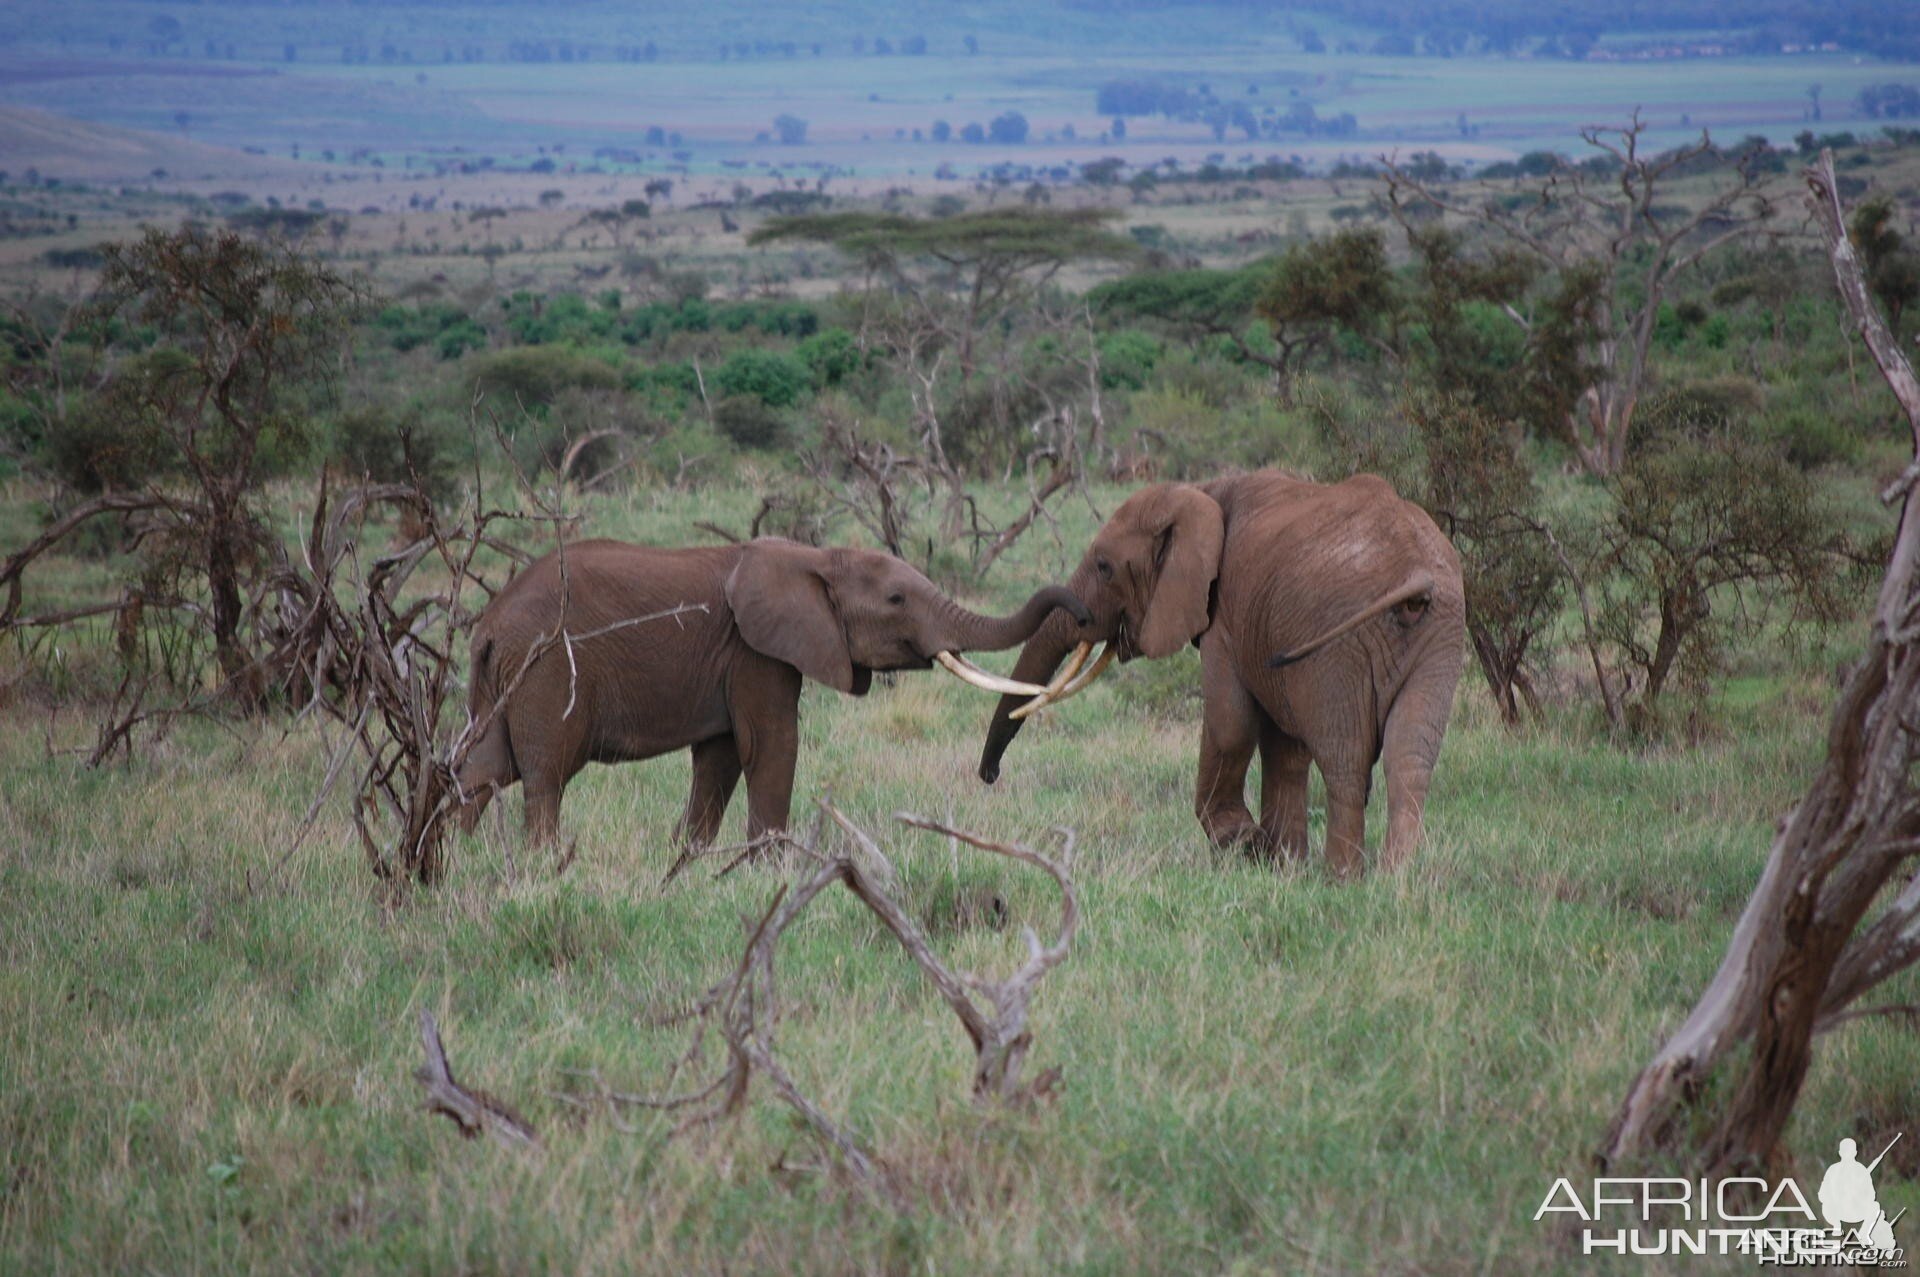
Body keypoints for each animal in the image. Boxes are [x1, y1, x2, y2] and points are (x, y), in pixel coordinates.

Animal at [453, 533, 1098, 852]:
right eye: (896, 600)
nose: (1088, 612)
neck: (815, 557)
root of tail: (489, 625)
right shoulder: (754, 650)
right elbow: (771, 744)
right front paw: (769, 870)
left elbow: (719, 759)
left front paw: (687, 862)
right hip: (546, 673)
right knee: (545, 776)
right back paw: (541, 868)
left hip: (503, 681)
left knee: (481, 770)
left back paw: (451, 868)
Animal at [975, 470, 1466, 875]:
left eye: (1104, 566)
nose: (990, 776)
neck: (1202, 492)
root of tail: (1416, 573)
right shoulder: (1259, 626)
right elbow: (1284, 745)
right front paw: (1281, 866)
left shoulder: (1226, 615)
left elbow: (1230, 724)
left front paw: (1246, 844)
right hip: (1438, 638)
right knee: (1410, 757)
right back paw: (1393, 881)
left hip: (1343, 641)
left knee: (1344, 758)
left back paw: (1343, 881)